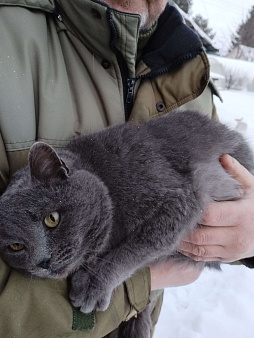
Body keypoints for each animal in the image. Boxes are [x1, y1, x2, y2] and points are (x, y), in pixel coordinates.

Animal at [0, 109, 254, 336]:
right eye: (15, 246)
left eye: (52, 219)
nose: (43, 261)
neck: (103, 178)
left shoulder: (178, 199)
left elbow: (132, 250)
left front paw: (92, 286)